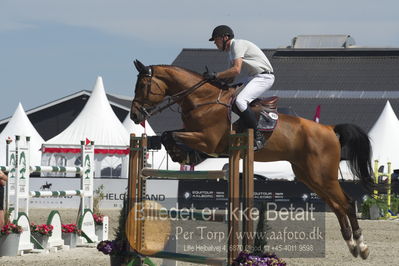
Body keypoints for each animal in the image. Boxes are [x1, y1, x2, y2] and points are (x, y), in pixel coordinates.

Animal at [130, 59, 378, 260]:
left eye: (142, 86)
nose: (134, 115)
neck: (203, 99)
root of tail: (329, 129)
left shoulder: (208, 140)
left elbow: (170, 135)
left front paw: (180, 153)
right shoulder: (199, 137)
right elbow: (169, 134)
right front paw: (183, 154)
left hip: (322, 175)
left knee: (347, 203)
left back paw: (362, 246)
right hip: (309, 176)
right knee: (337, 206)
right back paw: (352, 245)